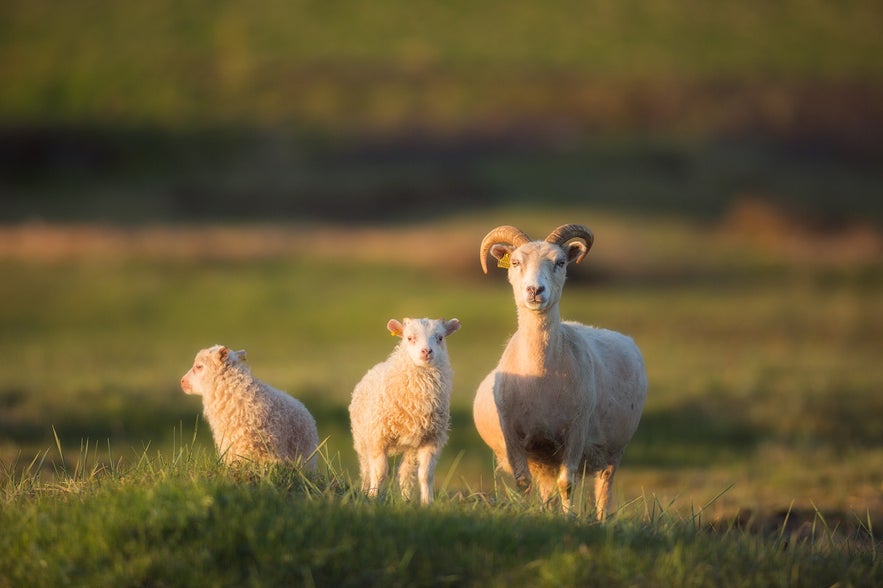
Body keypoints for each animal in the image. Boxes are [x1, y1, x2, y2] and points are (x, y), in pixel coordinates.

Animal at [348, 316, 462, 506]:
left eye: (440, 338)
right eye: (409, 338)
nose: (426, 351)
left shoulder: (431, 439)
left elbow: (426, 475)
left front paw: (427, 503)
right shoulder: (378, 436)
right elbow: (379, 472)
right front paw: (372, 498)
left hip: (410, 447)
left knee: (406, 472)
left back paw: (406, 499)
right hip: (362, 437)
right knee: (366, 469)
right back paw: (365, 490)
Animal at [476, 225, 648, 520]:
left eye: (560, 262)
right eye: (515, 262)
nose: (535, 290)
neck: (541, 376)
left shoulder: (576, 432)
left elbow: (567, 484)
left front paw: (568, 520)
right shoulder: (513, 434)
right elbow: (523, 482)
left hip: (612, 451)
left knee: (603, 489)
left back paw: (601, 520)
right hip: (544, 456)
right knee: (547, 489)